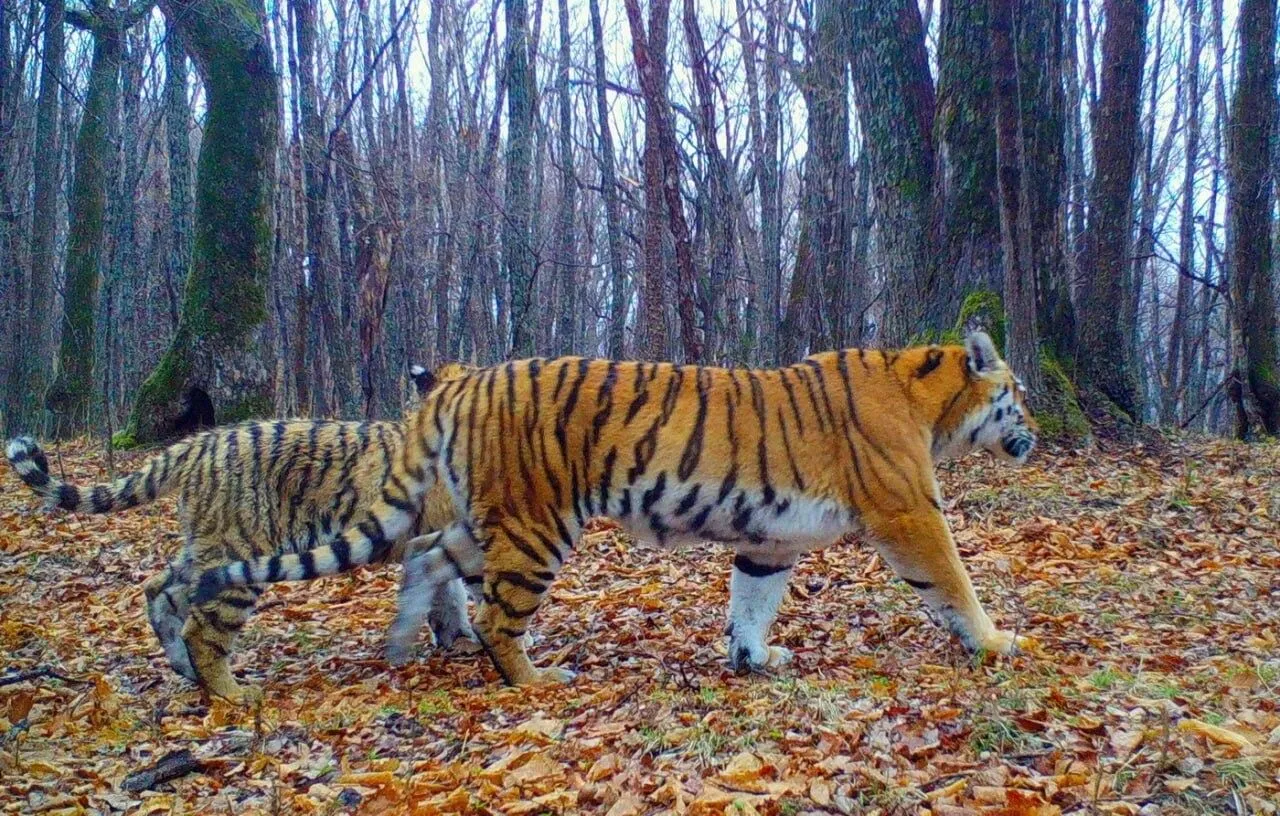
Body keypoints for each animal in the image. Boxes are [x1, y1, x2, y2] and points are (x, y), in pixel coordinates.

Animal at [5, 363, 481, 706]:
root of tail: (195, 444)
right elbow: (461, 588)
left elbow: (446, 592)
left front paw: (456, 639)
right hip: (239, 552)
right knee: (202, 627)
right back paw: (233, 693)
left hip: (208, 547)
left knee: (160, 589)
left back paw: (185, 669)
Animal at [194, 335, 1039, 690]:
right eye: (1017, 391)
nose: (1035, 426)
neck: (932, 401)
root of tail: (464, 383)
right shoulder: (909, 512)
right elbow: (953, 581)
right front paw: (996, 642)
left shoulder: (772, 537)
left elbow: (752, 599)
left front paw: (751, 659)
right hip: (536, 526)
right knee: (497, 614)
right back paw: (534, 680)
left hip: (484, 521)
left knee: (427, 558)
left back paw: (402, 644)